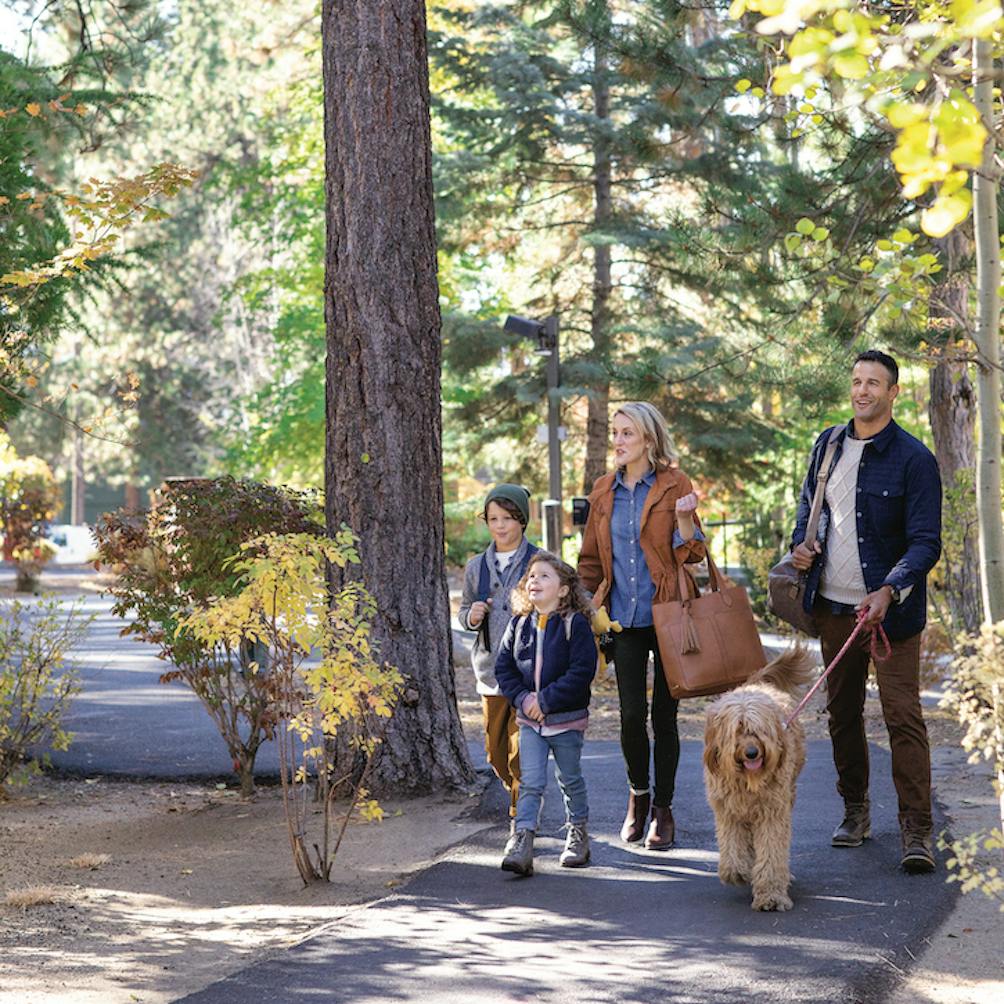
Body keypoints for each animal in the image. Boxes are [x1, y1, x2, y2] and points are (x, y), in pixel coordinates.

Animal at [706, 646, 815, 915]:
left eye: (760, 730)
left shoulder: (772, 812)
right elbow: (733, 848)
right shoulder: (727, 811)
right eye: (737, 730)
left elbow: (772, 852)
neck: (747, 781)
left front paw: (771, 895)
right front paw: (738, 872)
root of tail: (757, 685)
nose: (752, 753)